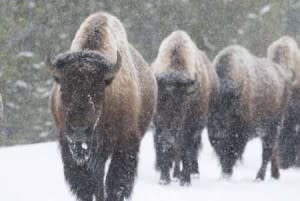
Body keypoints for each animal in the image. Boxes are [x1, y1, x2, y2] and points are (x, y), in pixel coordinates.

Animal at [47, 12, 157, 201]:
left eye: (98, 90)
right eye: (63, 89)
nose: (79, 130)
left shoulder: (125, 142)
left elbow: (115, 182)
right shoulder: (69, 146)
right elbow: (85, 184)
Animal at [152, 30, 218, 186]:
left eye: (184, 103)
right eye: (161, 99)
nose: (172, 131)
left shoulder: (191, 126)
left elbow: (186, 149)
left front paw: (185, 180)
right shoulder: (160, 124)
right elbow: (166, 145)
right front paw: (164, 179)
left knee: (189, 149)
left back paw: (191, 173)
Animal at [209, 45, 290, 181]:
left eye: (230, 107)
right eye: (211, 108)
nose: (219, 134)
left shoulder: (239, 134)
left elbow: (232, 153)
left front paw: (227, 174)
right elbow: (223, 153)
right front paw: (225, 175)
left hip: (273, 127)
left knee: (267, 152)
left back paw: (259, 177)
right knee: (273, 150)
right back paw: (275, 175)